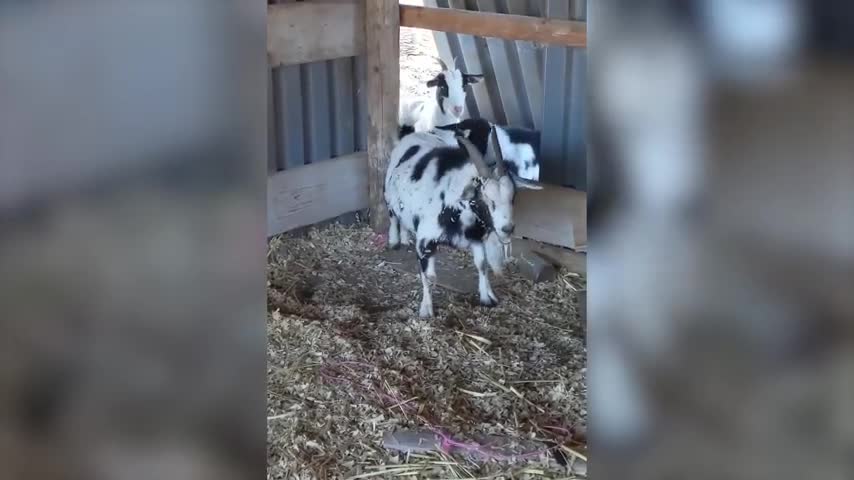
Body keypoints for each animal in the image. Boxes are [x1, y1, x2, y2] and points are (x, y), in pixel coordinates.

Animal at [386, 126, 540, 318]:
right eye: (487, 199)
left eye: (513, 197)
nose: (507, 228)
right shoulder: (424, 240)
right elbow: (428, 276)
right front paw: (426, 309)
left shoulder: (476, 238)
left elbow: (482, 265)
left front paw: (487, 297)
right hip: (388, 195)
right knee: (393, 215)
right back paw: (394, 240)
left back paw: (405, 237)